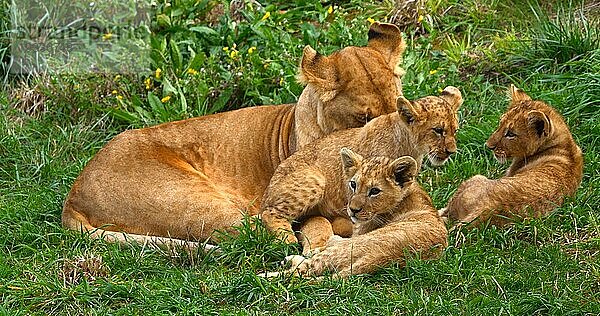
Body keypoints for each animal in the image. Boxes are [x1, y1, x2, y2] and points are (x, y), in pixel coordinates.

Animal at [62, 23, 408, 248]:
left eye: (400, 108)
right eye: (364, 119)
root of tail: (74, 194)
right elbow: (318, 223)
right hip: (193, 199)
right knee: (255, 232)